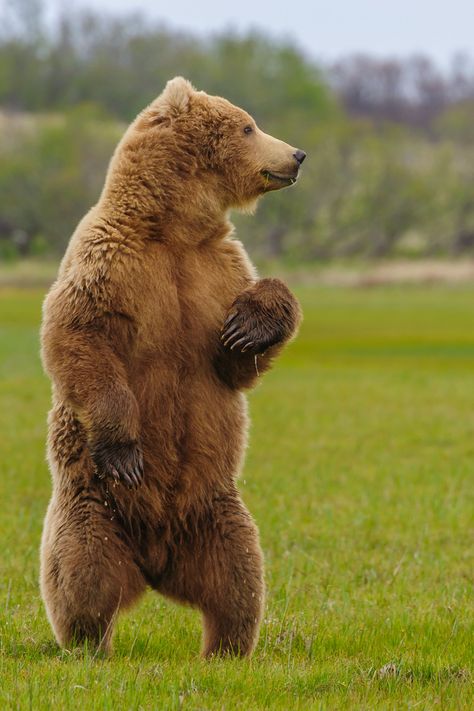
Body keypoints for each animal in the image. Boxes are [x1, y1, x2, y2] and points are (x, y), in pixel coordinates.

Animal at [40, 76, 304, 656]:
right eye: (248, 126)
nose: (297, 154)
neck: (173, 230)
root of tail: (155, 564)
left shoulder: (217, 270)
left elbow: (235, 363)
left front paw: (250, 325)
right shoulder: (109, 261)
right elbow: (80, 336)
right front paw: (124, 450)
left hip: (216, 511)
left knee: (239, 580)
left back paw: (226, 649)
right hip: (94, 505)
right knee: (83, 573)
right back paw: (89, 645)